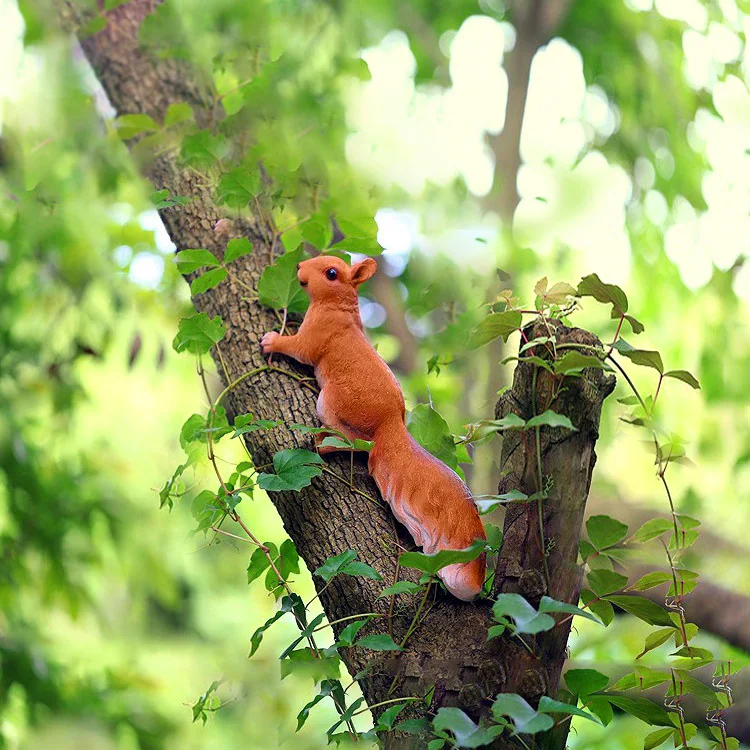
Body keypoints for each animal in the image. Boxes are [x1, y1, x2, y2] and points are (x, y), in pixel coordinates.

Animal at [262, 256, 488, 604]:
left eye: (331, 273)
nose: (299, 266)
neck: (339, 307)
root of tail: (391, 425)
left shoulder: (317, 334)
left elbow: (298, 346)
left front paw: (272, 340)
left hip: (330, 403)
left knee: (353, 441)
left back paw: (325, 443)